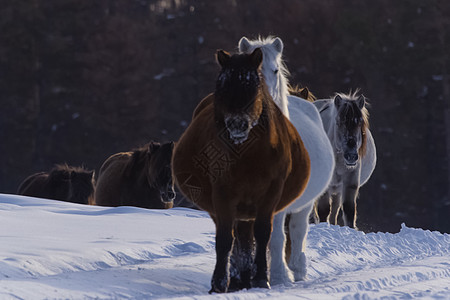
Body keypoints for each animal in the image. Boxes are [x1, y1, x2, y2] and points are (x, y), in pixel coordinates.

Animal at [171, 48, 312, 292]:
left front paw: (261, 279)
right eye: (221, 87)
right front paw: (218, 284)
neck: (248, 156)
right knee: (238, 239)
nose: (237, 125)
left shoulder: (270, 195)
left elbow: (263, 234)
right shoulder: (223, 195)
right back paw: (238, 279)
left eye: (253, 87)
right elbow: (225, 239)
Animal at [237, 35, 336, 284]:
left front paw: (278, 276)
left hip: (305, 204)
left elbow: (276, 238)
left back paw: (297, 270)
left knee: (298, 231)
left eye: (274, 70)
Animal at [312, 91, 378, 230]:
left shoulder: (350, 180)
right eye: (338, 122)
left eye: (360, 122)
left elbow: (349, 210)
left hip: (337, 188)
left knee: (335, 210)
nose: (351, 156)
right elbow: (323, 210)